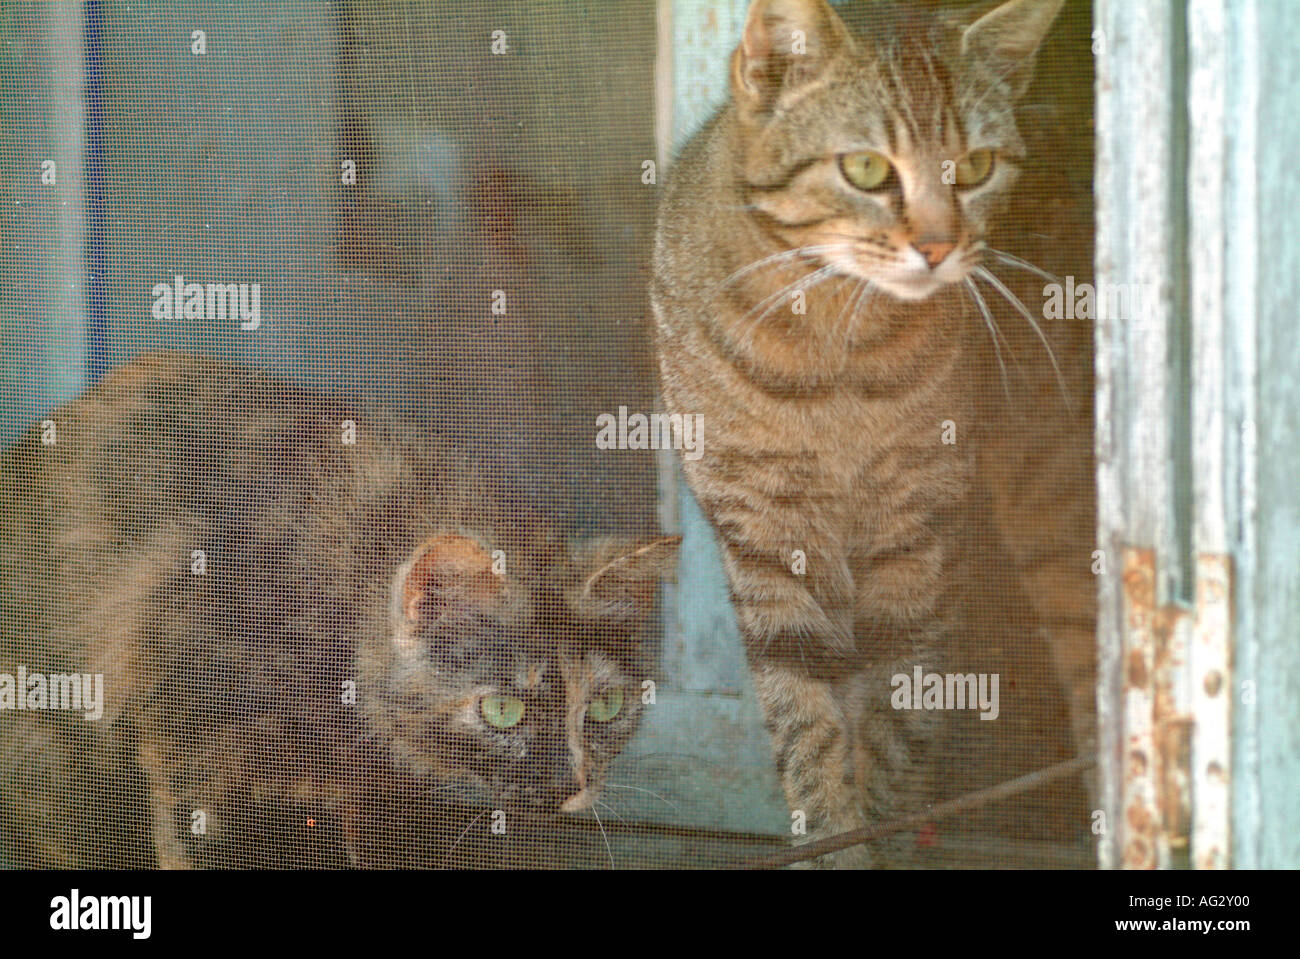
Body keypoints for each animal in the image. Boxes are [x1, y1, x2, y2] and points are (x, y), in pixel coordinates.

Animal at [647, 0, 1086, 868]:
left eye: (976, 165)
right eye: (867, 170)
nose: (940, 246)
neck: (835, 351)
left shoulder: (921, 543)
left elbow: (895, 729)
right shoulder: (767, 541)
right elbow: (809, 732)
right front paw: (835, 839)